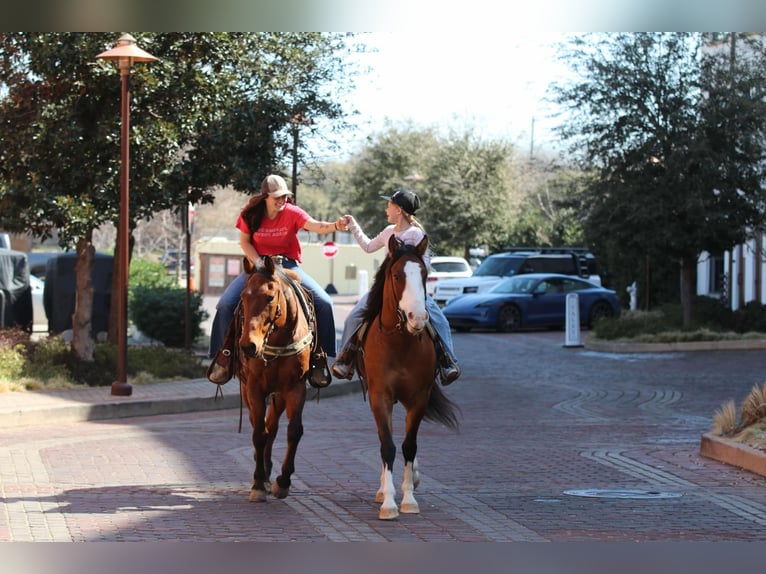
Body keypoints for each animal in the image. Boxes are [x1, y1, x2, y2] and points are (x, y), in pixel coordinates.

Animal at [234, 255, 314, 503]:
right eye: (243, 296)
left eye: (270, 297)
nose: (248, 346)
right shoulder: (254, 388)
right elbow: (259, 433)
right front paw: (259, 482)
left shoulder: (296, 387)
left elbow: (293, 431)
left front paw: (283, 480)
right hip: (247, 390)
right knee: (260, 426)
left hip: (278, 394)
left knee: (273, 425)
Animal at [357, 234, 461, 520]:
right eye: (396, 275)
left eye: (424, 274)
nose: (419, 317)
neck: (399, 343)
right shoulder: (380, 396)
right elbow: (388, 445)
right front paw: (389, 503)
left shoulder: (419, 398)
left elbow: (409, 446)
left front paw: (408, 499)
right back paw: (383, 490)